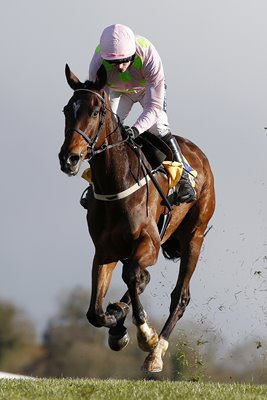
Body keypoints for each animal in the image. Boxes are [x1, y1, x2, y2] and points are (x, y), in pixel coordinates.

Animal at [58, 64, 216, 374]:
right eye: (67, 110)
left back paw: (156, 352)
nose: (69, 158)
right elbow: (95, 312)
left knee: (180, 297)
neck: (115, 182)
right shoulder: (104, 251)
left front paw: (145, 335)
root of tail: (198, 153)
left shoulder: (150, 243)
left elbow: (131, 274)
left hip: (195, 237)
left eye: (95, 111)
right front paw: (117, 325)